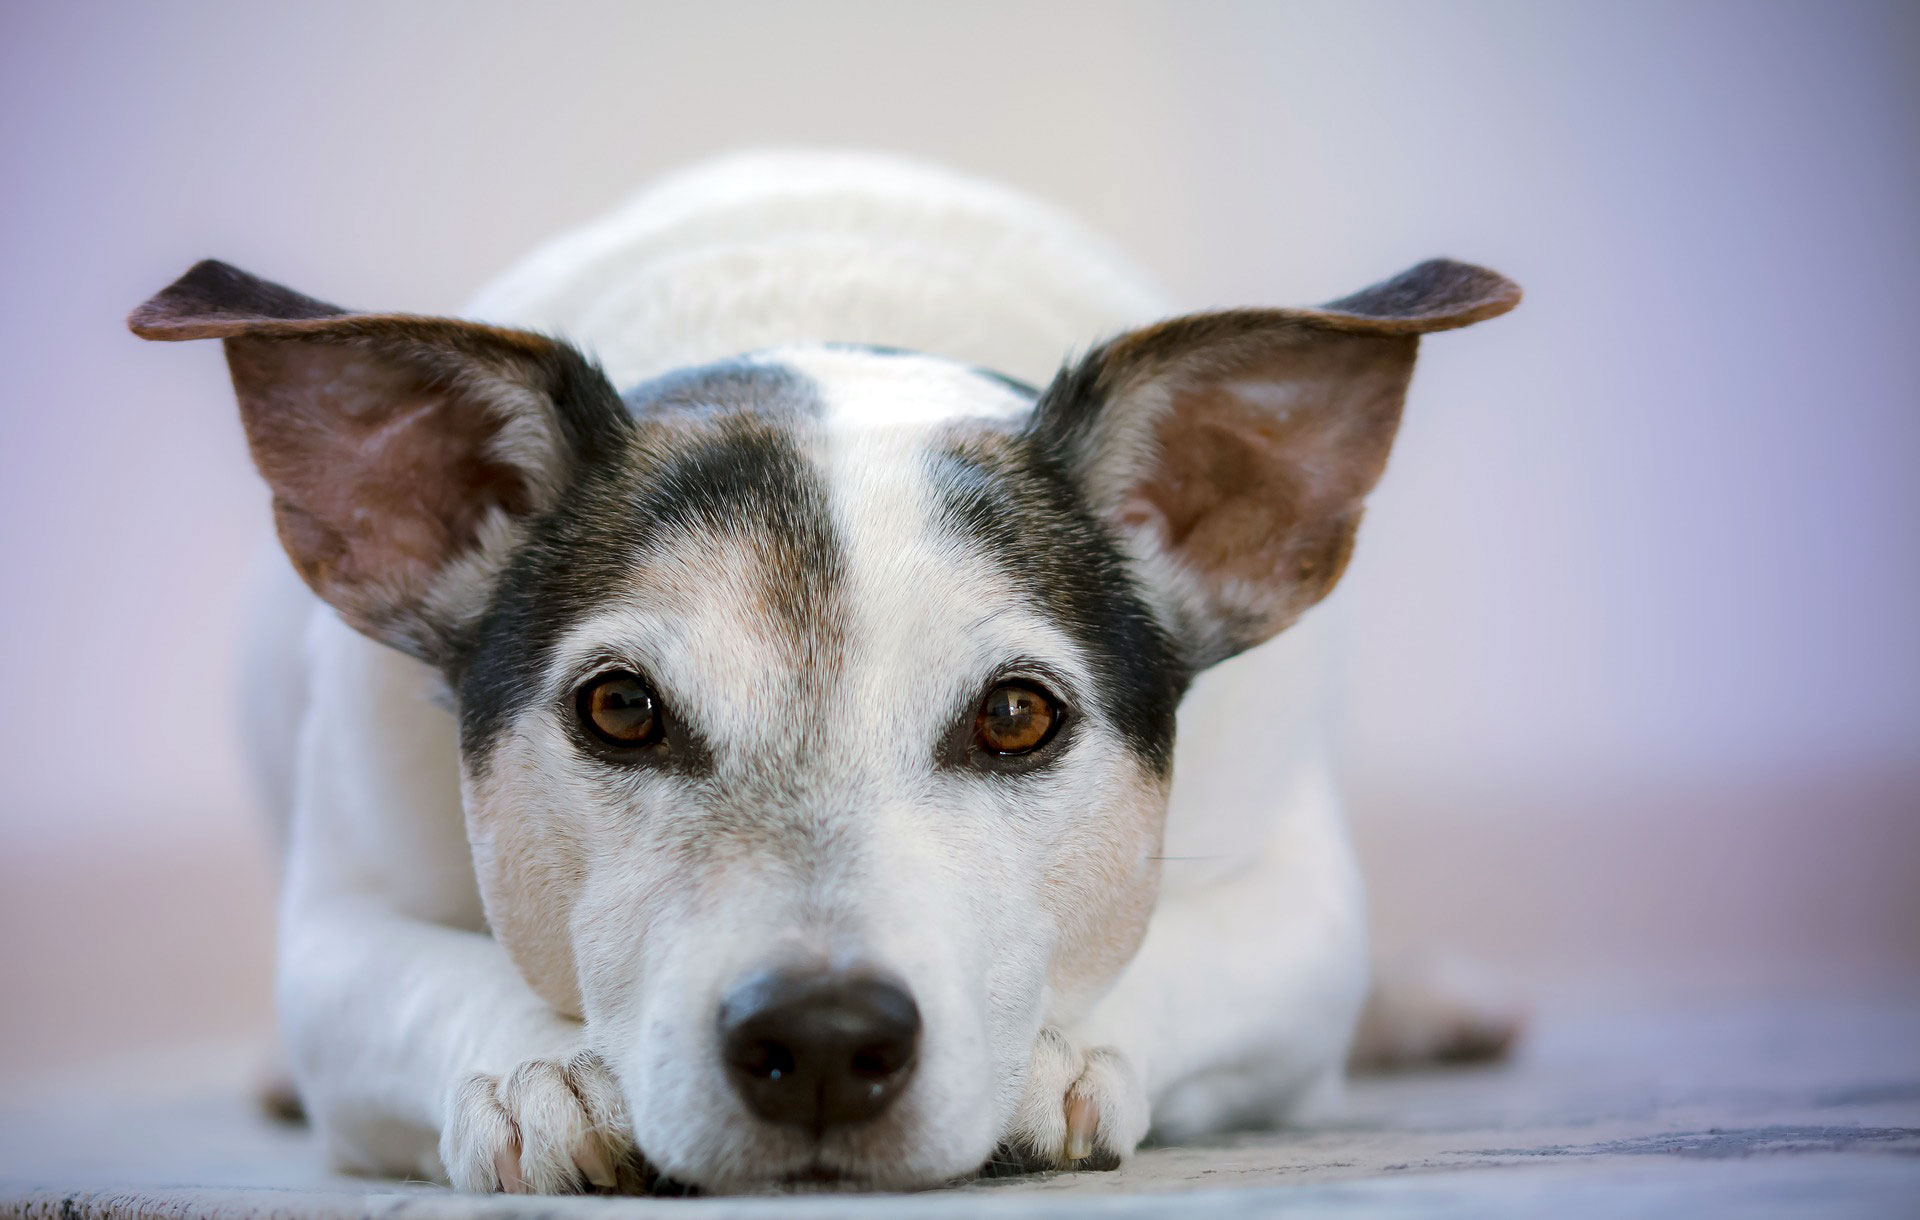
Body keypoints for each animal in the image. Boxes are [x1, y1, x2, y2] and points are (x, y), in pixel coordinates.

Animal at [131, 150, 1512, 1191]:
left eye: (1019, 715)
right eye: (618, 707)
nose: (827, 1036)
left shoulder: (1299, 909)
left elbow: (1189, 953)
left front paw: (1053, 1054)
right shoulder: (337, 924)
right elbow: (416, 977)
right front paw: (544, 1068)